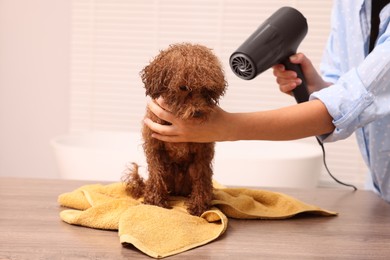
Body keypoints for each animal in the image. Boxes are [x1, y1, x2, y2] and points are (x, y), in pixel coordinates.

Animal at [125, 42, 225, 215]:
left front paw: (199, 206)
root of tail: (178, 191)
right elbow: (156, 175)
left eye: (206, 89)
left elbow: (202, 179)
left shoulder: (202, 154)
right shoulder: (154, 148)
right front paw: (156, 201)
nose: (198, 112)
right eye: (183, 87)